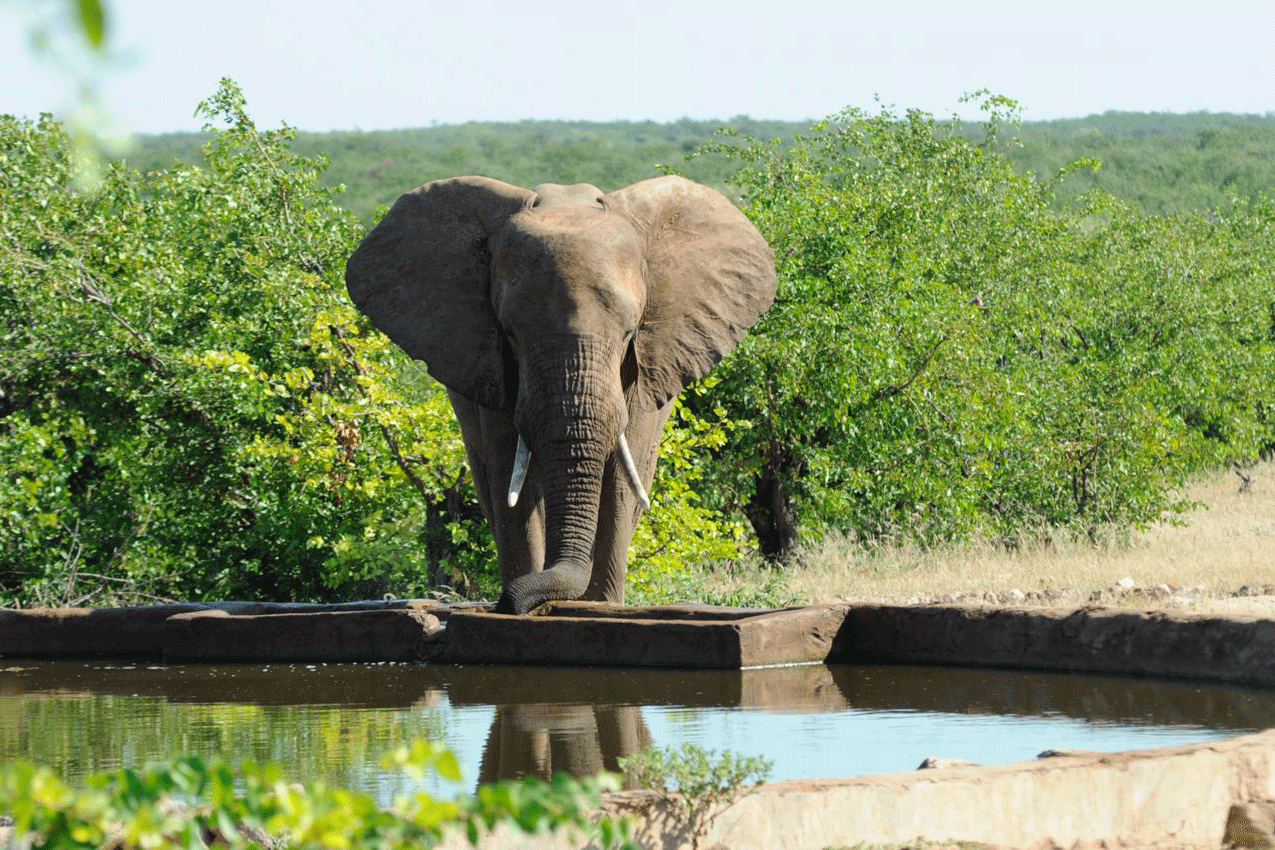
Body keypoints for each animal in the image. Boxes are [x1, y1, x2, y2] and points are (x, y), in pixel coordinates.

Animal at [345, 175, 775, 614]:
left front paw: (601, 606)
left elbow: (620, 483)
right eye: (510, 333)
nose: (506, 602)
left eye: (629, 333)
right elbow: (510, 480)